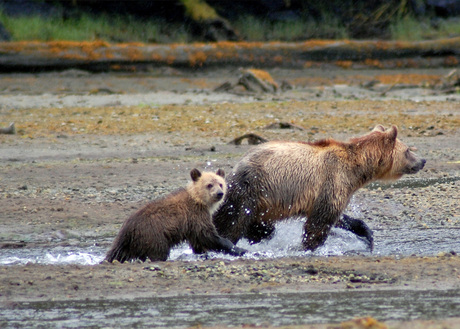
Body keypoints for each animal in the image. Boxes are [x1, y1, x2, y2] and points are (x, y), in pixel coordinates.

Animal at [105, 169, 246, 262]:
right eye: (209, 185)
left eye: (220, 183)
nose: (219, 193)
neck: (199, 200)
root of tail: (127, 229)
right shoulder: (195, 215)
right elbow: (209, 236)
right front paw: (239, 249)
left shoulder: (193, 223)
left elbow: (198, 241)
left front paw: (203, 253)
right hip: (153, 235)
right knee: (158, 253)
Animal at [214, 124, 426, 250]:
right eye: (408, 150)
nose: (423, 160)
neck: (357, 169)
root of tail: (237, 166)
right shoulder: (333, 179)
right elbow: (320, 220)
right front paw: (310, 246)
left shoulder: (335, 190)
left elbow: (339, 217)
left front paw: (367, 235)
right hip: (251, 189)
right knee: (232, 221)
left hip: (263, 202)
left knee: (261, 228)